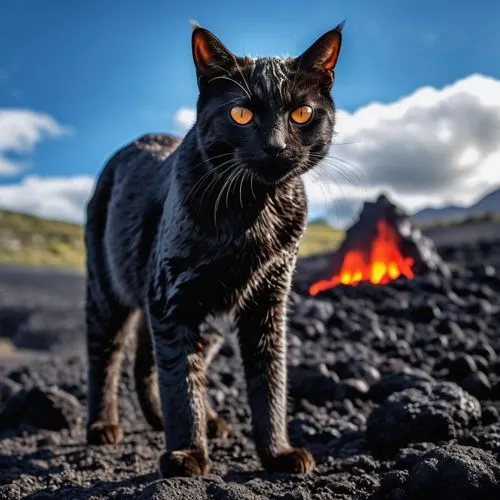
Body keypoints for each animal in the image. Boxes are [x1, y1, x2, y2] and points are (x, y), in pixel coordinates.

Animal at [86, 22, 342, 476]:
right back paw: (103, 425)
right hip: (108, 290)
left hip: (205, 320)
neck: (255, 209)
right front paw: (188, 453)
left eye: (302, 113)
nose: (276, 146)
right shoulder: (171, 298)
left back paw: (183, 419)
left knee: (151, 361)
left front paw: (277, 452)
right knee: (108, 356)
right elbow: (180, 381)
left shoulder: (267, 303)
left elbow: (269, 381)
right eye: (241, 114)